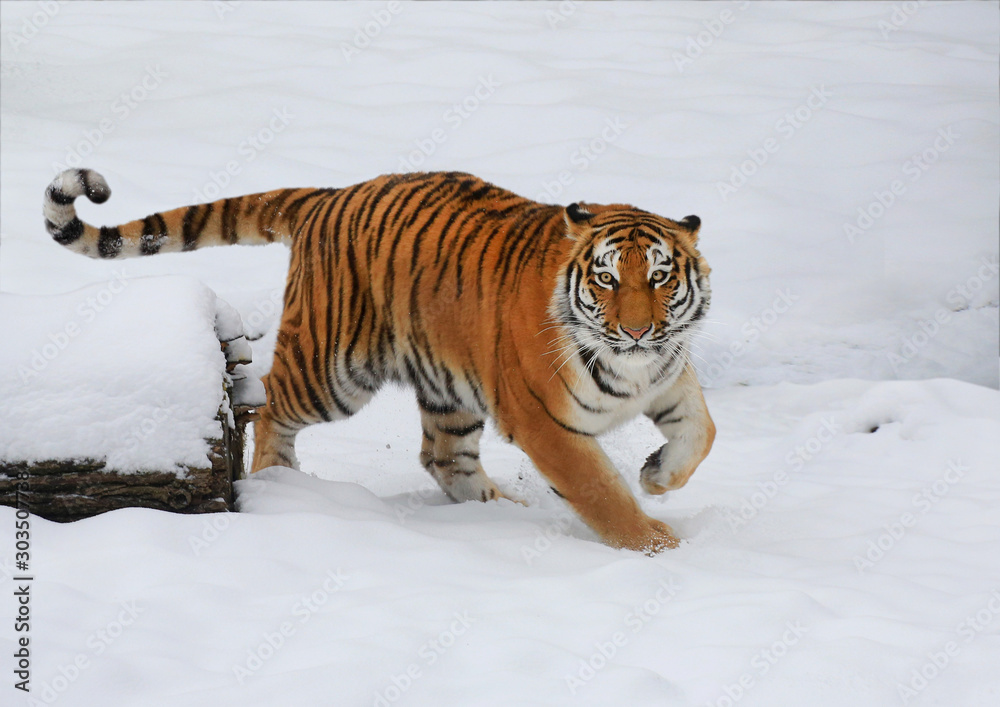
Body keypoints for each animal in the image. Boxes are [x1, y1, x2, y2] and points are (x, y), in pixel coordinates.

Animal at [43, 169, 716, 556]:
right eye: (606, 279)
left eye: (660, 278)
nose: (636, 329)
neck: (632, 365)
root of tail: (331, 195)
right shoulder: (544, 421)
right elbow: (598, 488)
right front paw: (656, 544)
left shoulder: (669, 375)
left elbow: (702, 432)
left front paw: (658, 477)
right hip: (333, 369)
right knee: (267, 402)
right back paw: (278, 481)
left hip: (449, 387)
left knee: (443, 457)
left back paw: (498, 510)